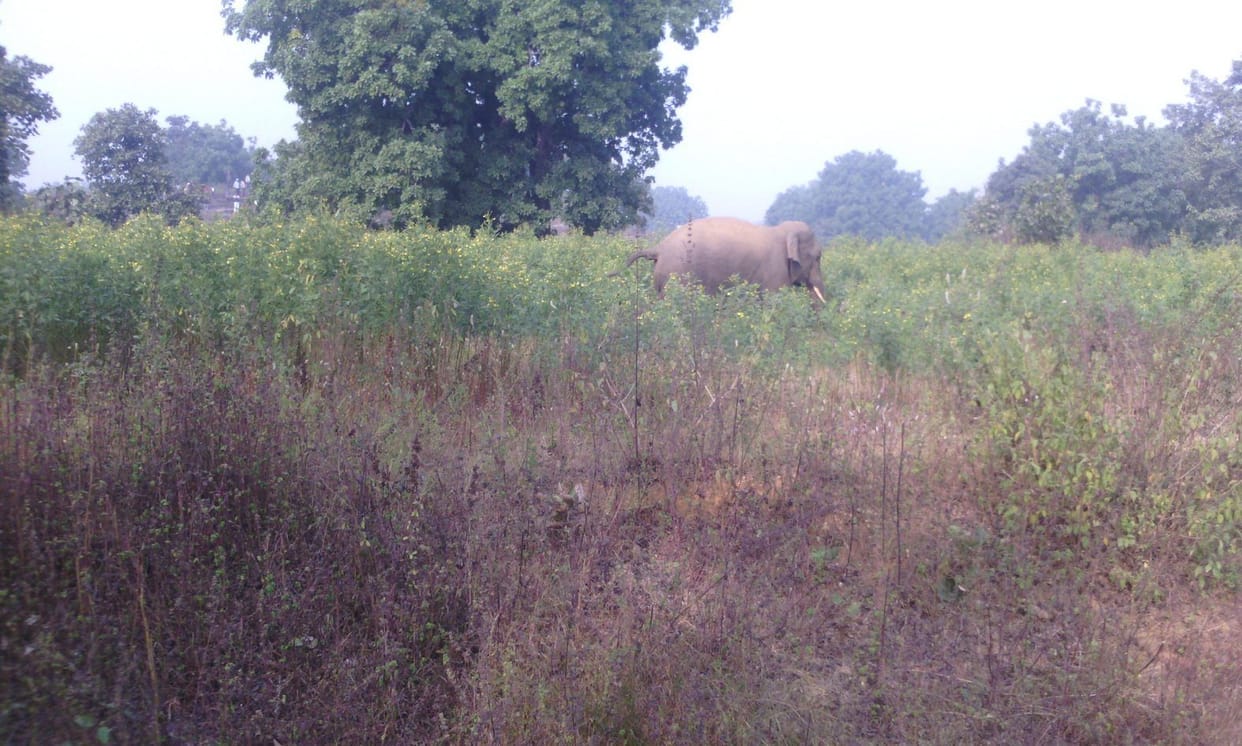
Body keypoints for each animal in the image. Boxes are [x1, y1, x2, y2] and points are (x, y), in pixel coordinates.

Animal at [625, 217, 826, 304]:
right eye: (818, 257)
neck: (782, 230)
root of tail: (659, 248)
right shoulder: (774, 270)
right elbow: (773, 302)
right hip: (678, 276)